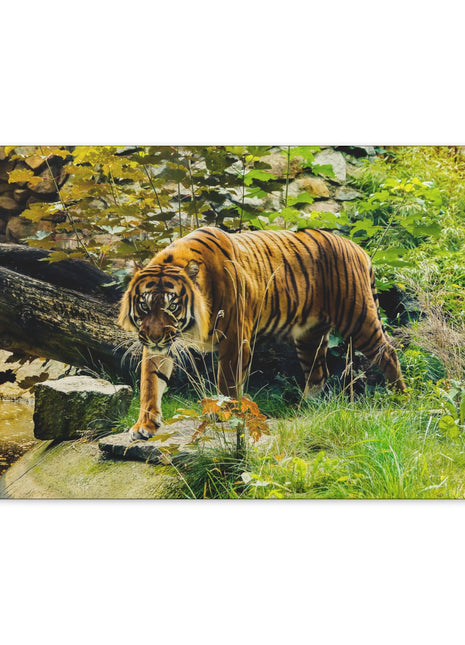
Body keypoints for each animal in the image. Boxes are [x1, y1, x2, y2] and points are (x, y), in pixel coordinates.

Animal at [118, 226, 406, 440]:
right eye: (144, 305)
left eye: (172, 305)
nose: (154, 336)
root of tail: (357, 248)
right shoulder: (161, 344)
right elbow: (150, 382)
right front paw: (144, 425)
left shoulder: (235, 338)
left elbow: (227, 380)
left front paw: (223, 412)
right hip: (309, 336)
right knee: (318, 372)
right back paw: (305, 408)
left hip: (357, 318)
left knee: (388, 352)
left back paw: (400, 398)